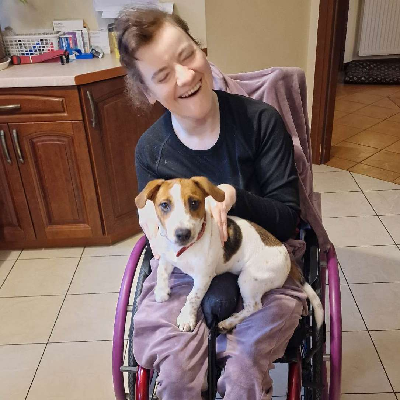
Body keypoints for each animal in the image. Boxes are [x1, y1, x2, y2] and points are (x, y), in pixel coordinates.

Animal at [135, 176, 324, 333]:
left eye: (194, 203)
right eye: (164, 205)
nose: (183, 234)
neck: (184, 250)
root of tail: (288, 258)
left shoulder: (203, 277)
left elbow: (192, 297)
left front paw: (186, 317)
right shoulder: (166, 257)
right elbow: (161, 272)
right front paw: (161, 291)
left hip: (249, 280)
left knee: (254, 307)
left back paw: (228, 322)